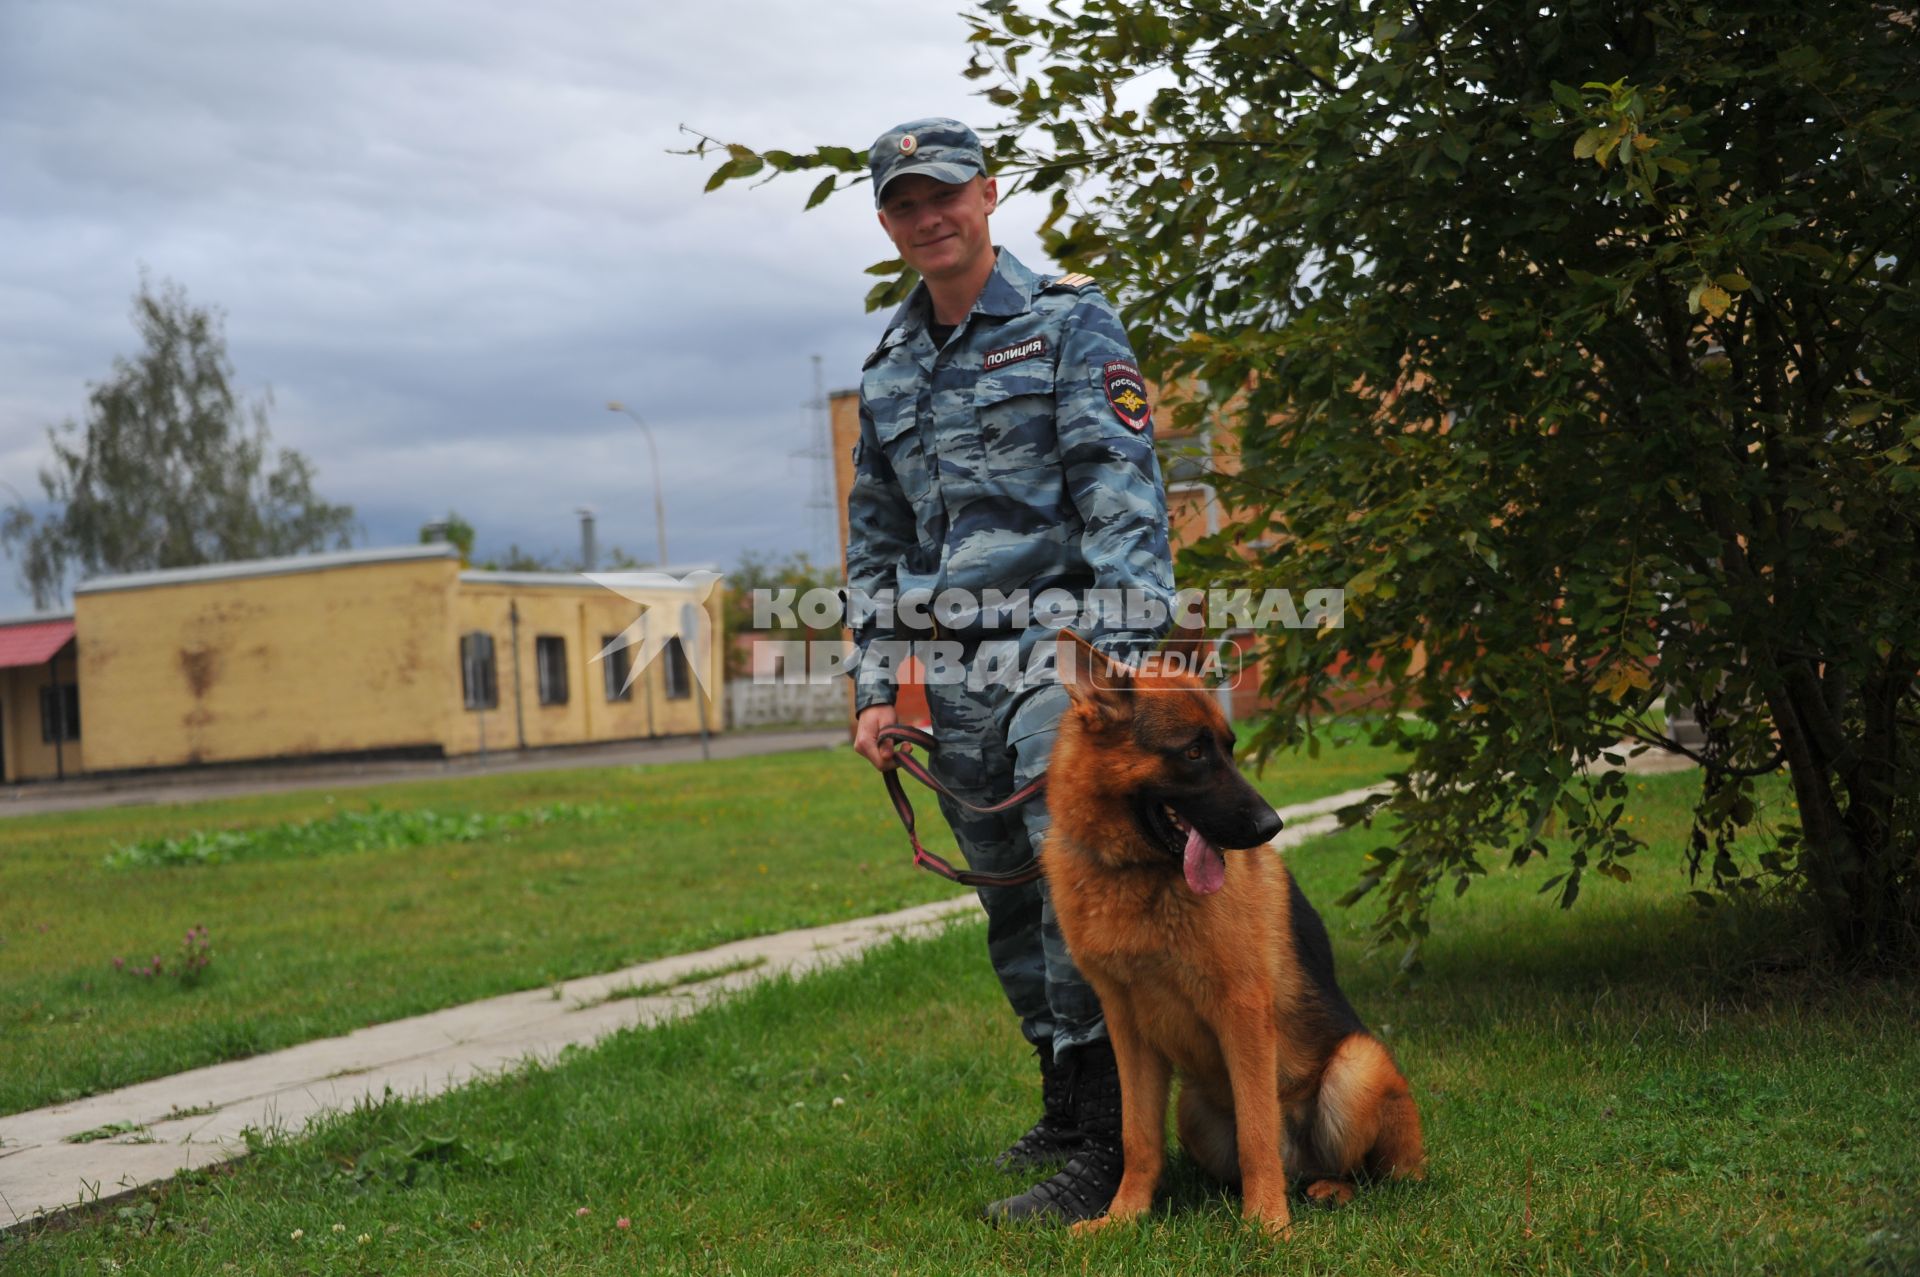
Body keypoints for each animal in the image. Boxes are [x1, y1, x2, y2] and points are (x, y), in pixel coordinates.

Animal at [1044, 633, 1420, 1228]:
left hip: (1357, 1067)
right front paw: (1124, 1218)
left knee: (1369, 1173)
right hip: (1193, 1106)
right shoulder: (1127, 1029)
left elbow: (1256, 1133)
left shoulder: (1241, 1011)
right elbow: (1137, 1136)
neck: (1136, 875)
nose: (1273, 827)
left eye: (1227, 746)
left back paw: (1329, 1189)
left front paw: (1267, 1224)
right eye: (1194, 753)